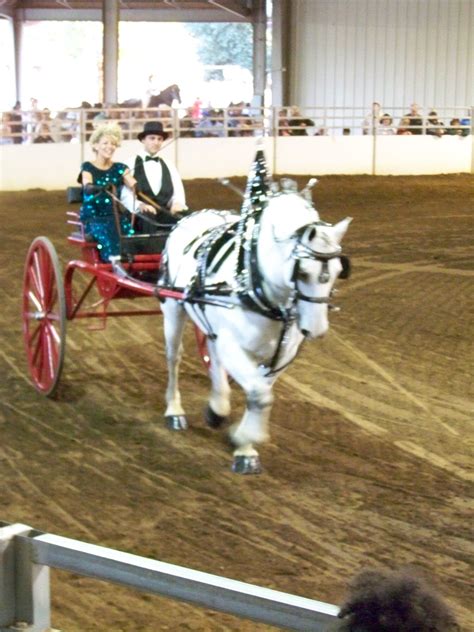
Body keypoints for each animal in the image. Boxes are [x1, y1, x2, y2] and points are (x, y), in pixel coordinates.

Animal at [161, 178, 350, 474]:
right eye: (302, 272)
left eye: (339, 271)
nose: (316, 330)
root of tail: (189, 218)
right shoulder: (232, 344)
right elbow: (260, 395)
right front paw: (243, 438)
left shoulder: (279, 356)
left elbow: (259, 394)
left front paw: (245, 449)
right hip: (172, 308)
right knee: (174, 357)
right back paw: (174, 410)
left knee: (214, 358)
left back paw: (217, 406)